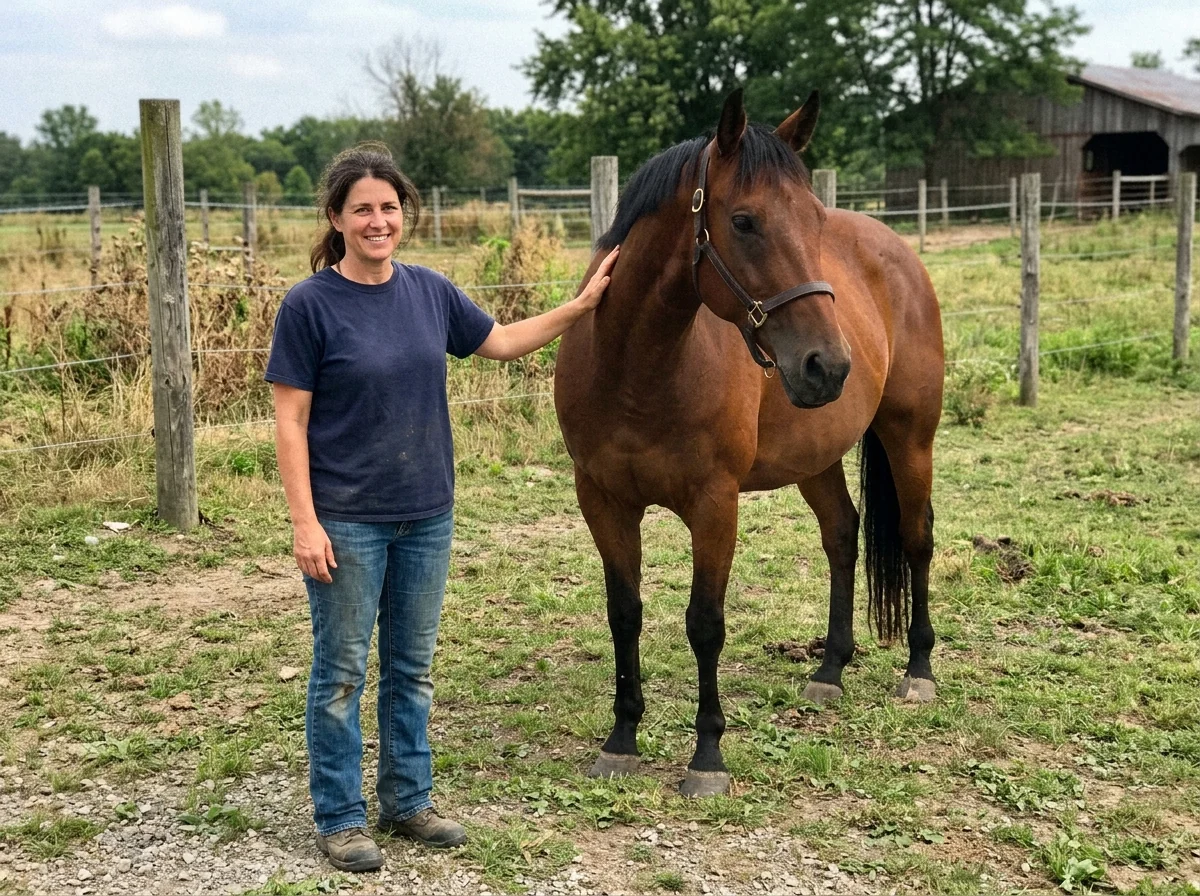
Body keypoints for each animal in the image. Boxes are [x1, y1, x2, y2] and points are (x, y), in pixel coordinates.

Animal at [553, 89, 945, 797]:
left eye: (813, 221)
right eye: (743, 222)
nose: (828, 366)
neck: (634, 368)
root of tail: (897, 250)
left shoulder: (715, 504)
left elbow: (705, 623)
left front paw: (707, 756)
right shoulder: (602, 500)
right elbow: (625, 612)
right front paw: (621, 740)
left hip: (911, 436)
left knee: (916, 538)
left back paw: (919, 672)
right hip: (816, 455)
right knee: (842, 535)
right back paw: (829, 672)